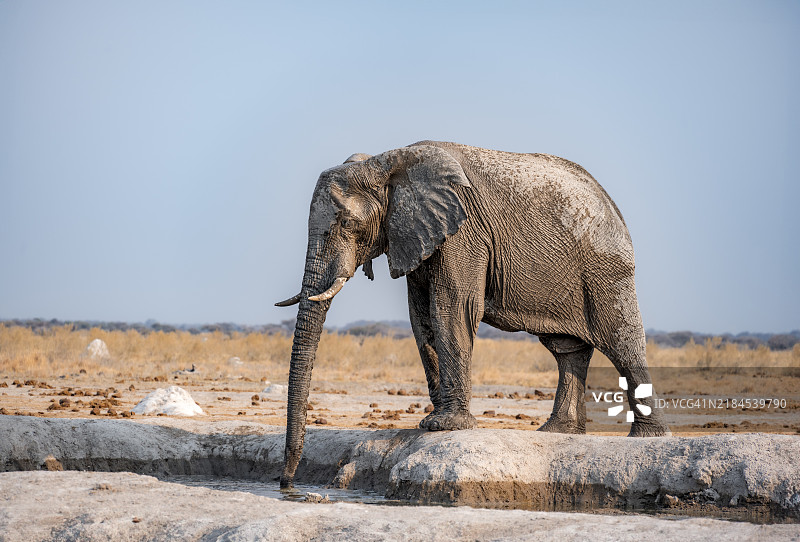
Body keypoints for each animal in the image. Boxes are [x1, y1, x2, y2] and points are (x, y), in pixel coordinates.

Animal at [275, 140, 670, 488]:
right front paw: (433, 421)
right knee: (567, 350)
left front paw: (443, 427)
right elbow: (421, 318)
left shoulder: (463, 233)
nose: (286, 481)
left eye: (346, 224)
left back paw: (648, 438)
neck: (385, 162)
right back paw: (556, 432)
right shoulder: (419, 235)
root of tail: (610, 202)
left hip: (606, 269)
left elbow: (451, 307)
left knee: (622, 343)